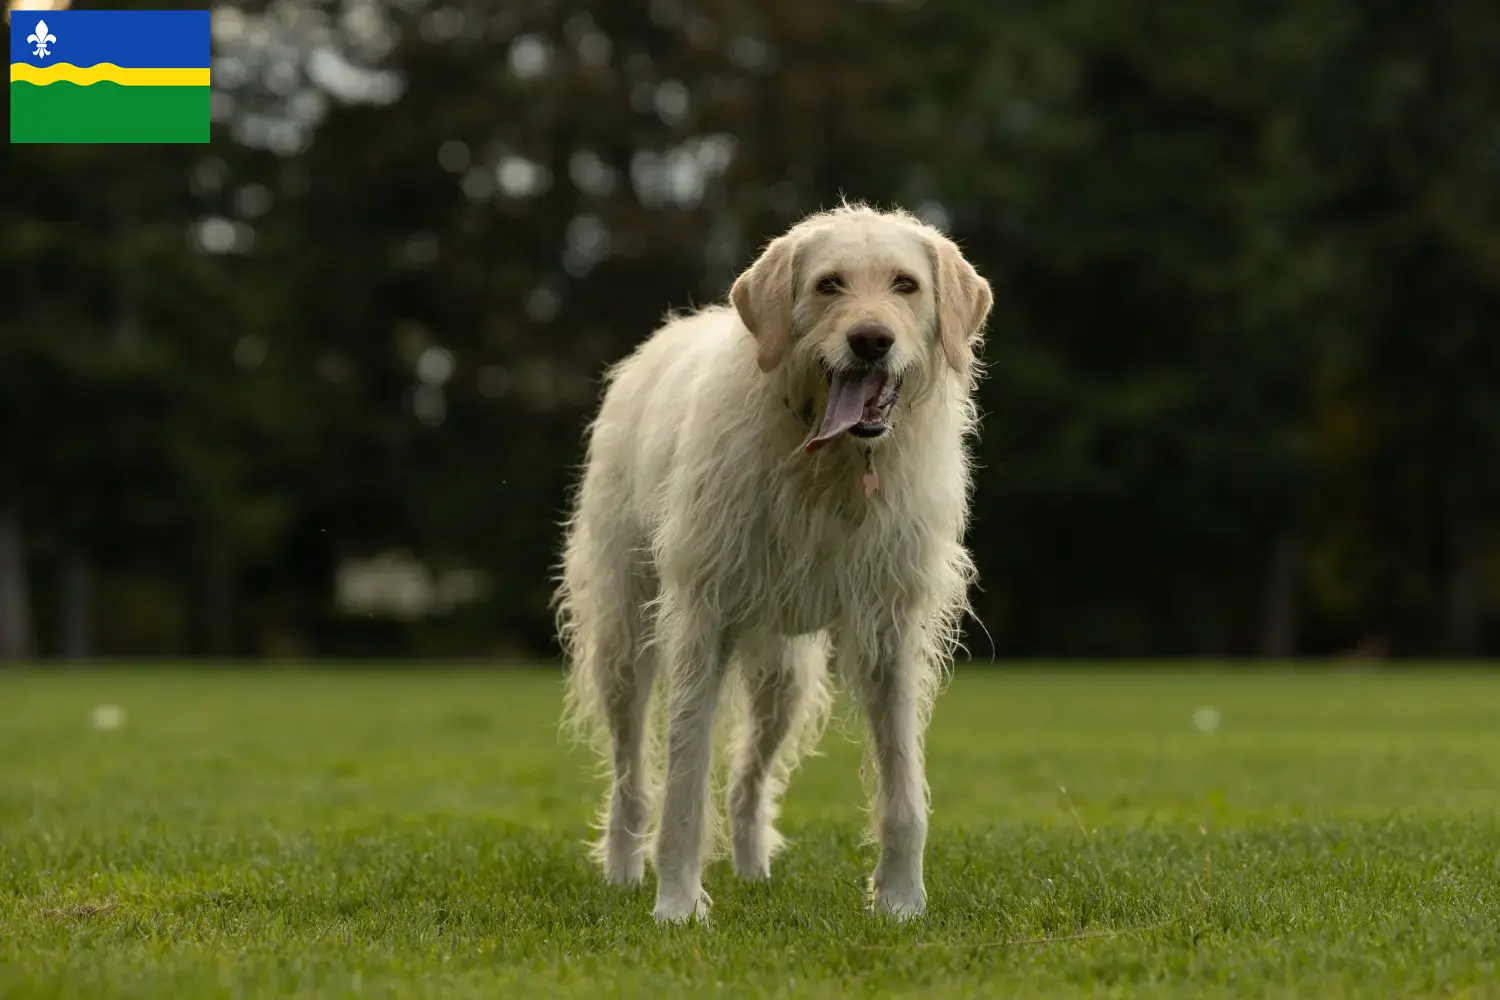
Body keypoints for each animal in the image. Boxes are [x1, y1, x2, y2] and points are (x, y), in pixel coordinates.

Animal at [558, 200, 990, 923]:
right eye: (829, 284)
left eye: (905, 284)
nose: (871, 341)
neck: (830, 460)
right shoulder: (701, 622)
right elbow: (683, 784)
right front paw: (677, 906)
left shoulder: (891, 636)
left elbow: (902, 784)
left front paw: (901, 902)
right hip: (623, 642)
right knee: (630, 774)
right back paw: (623, 868)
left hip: (782, 677)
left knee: (747, 783)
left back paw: (752, 867)